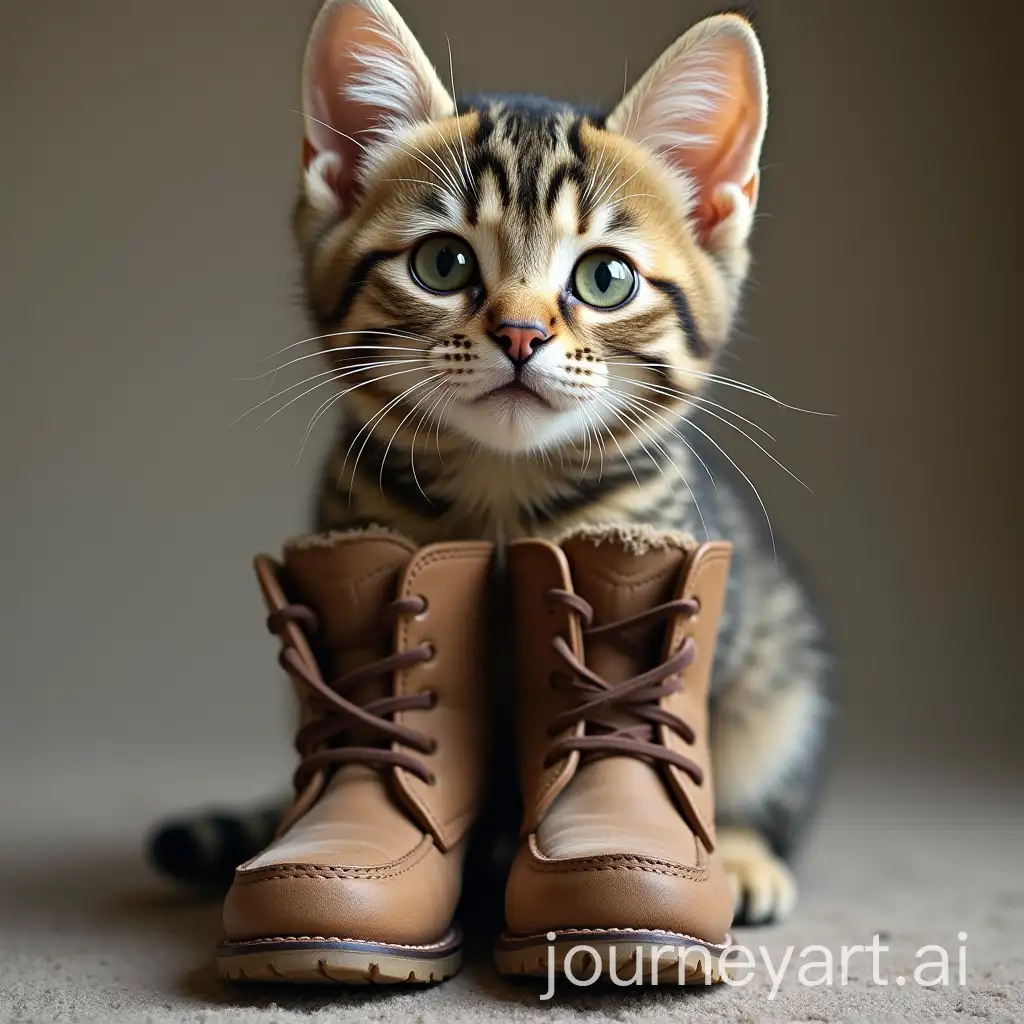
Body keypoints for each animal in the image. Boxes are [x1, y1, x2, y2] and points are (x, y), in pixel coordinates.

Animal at [151, 0, 827, 929]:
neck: (503, 500)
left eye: (606, 279)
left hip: (782, 662)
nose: (520, 333)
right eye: (444, 263)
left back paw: (748, 853)